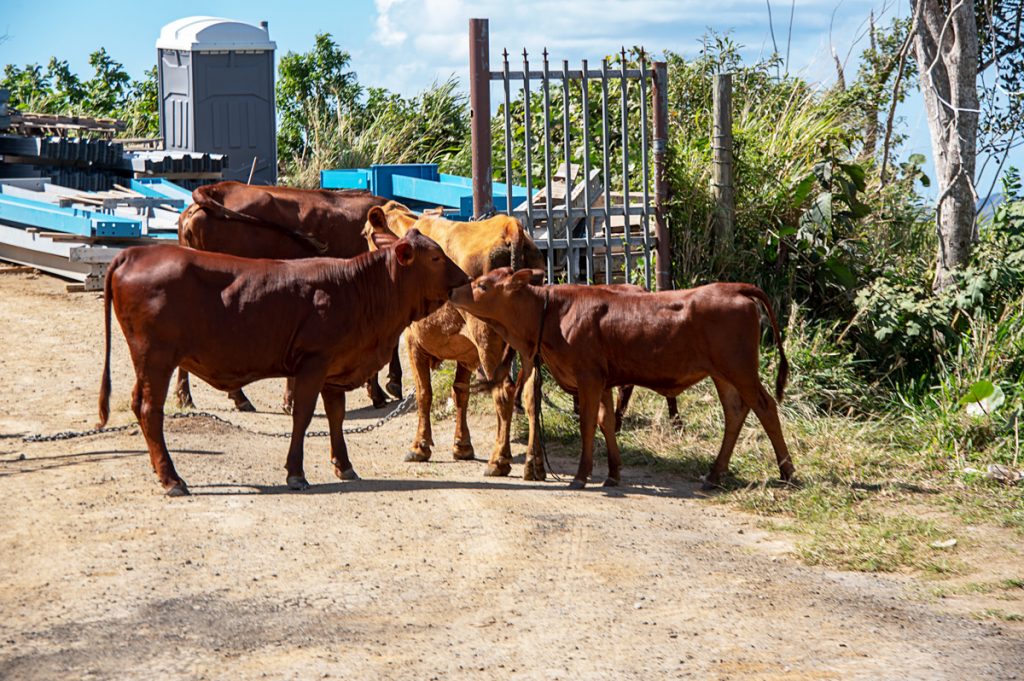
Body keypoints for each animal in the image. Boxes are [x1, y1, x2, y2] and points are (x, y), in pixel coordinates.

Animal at [366, 202, 548, 477]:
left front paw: (420, 447)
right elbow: (460, 391)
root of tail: (510, 226)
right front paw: (462, 446)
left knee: (504, 392)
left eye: (365, 234)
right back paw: (534, 463)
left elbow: (424, 393)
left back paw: (499, 460)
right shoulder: (466, 351)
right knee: (531, 394)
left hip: (488, 343)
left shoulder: (413, 341)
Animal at [452, 266, 794, 489]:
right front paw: (612, 473)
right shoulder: (602, 381)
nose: (454, 289)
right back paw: (713, 475)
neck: (553, 313)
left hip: (740, 369)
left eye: (483, 285)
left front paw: (581, 475)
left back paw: (787, 471)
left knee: (765, 407)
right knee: (735, 412)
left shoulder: (588, 377)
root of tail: (734, 287)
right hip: (723, 374)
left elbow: (588, 423)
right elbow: (606, 422)